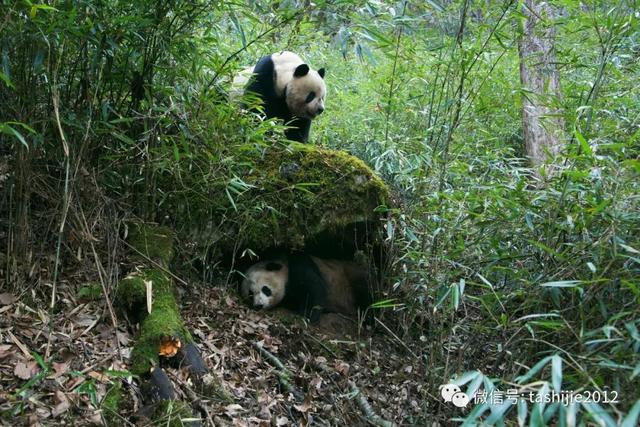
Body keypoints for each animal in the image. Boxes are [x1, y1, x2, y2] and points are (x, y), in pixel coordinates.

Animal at [240, 254, 370, 320]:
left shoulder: (299, 266)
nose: (259, 305)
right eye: (250, 294)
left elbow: (314, 288)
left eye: (265, 289)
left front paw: (307, 315)